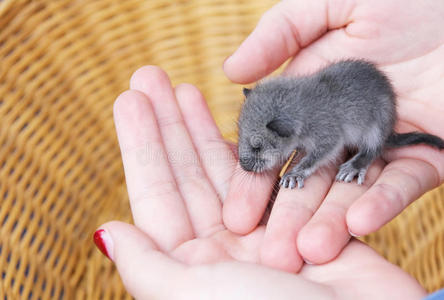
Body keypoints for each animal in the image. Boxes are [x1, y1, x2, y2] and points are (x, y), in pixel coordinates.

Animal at [239, 59, 444, 189]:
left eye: (257, 146)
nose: (244, 167)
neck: (300, 107)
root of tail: (390, 129)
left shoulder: (328, 136)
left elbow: (316, 157)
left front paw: (295, 174)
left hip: (377, 125)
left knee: (373, 150)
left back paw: (354, 166)